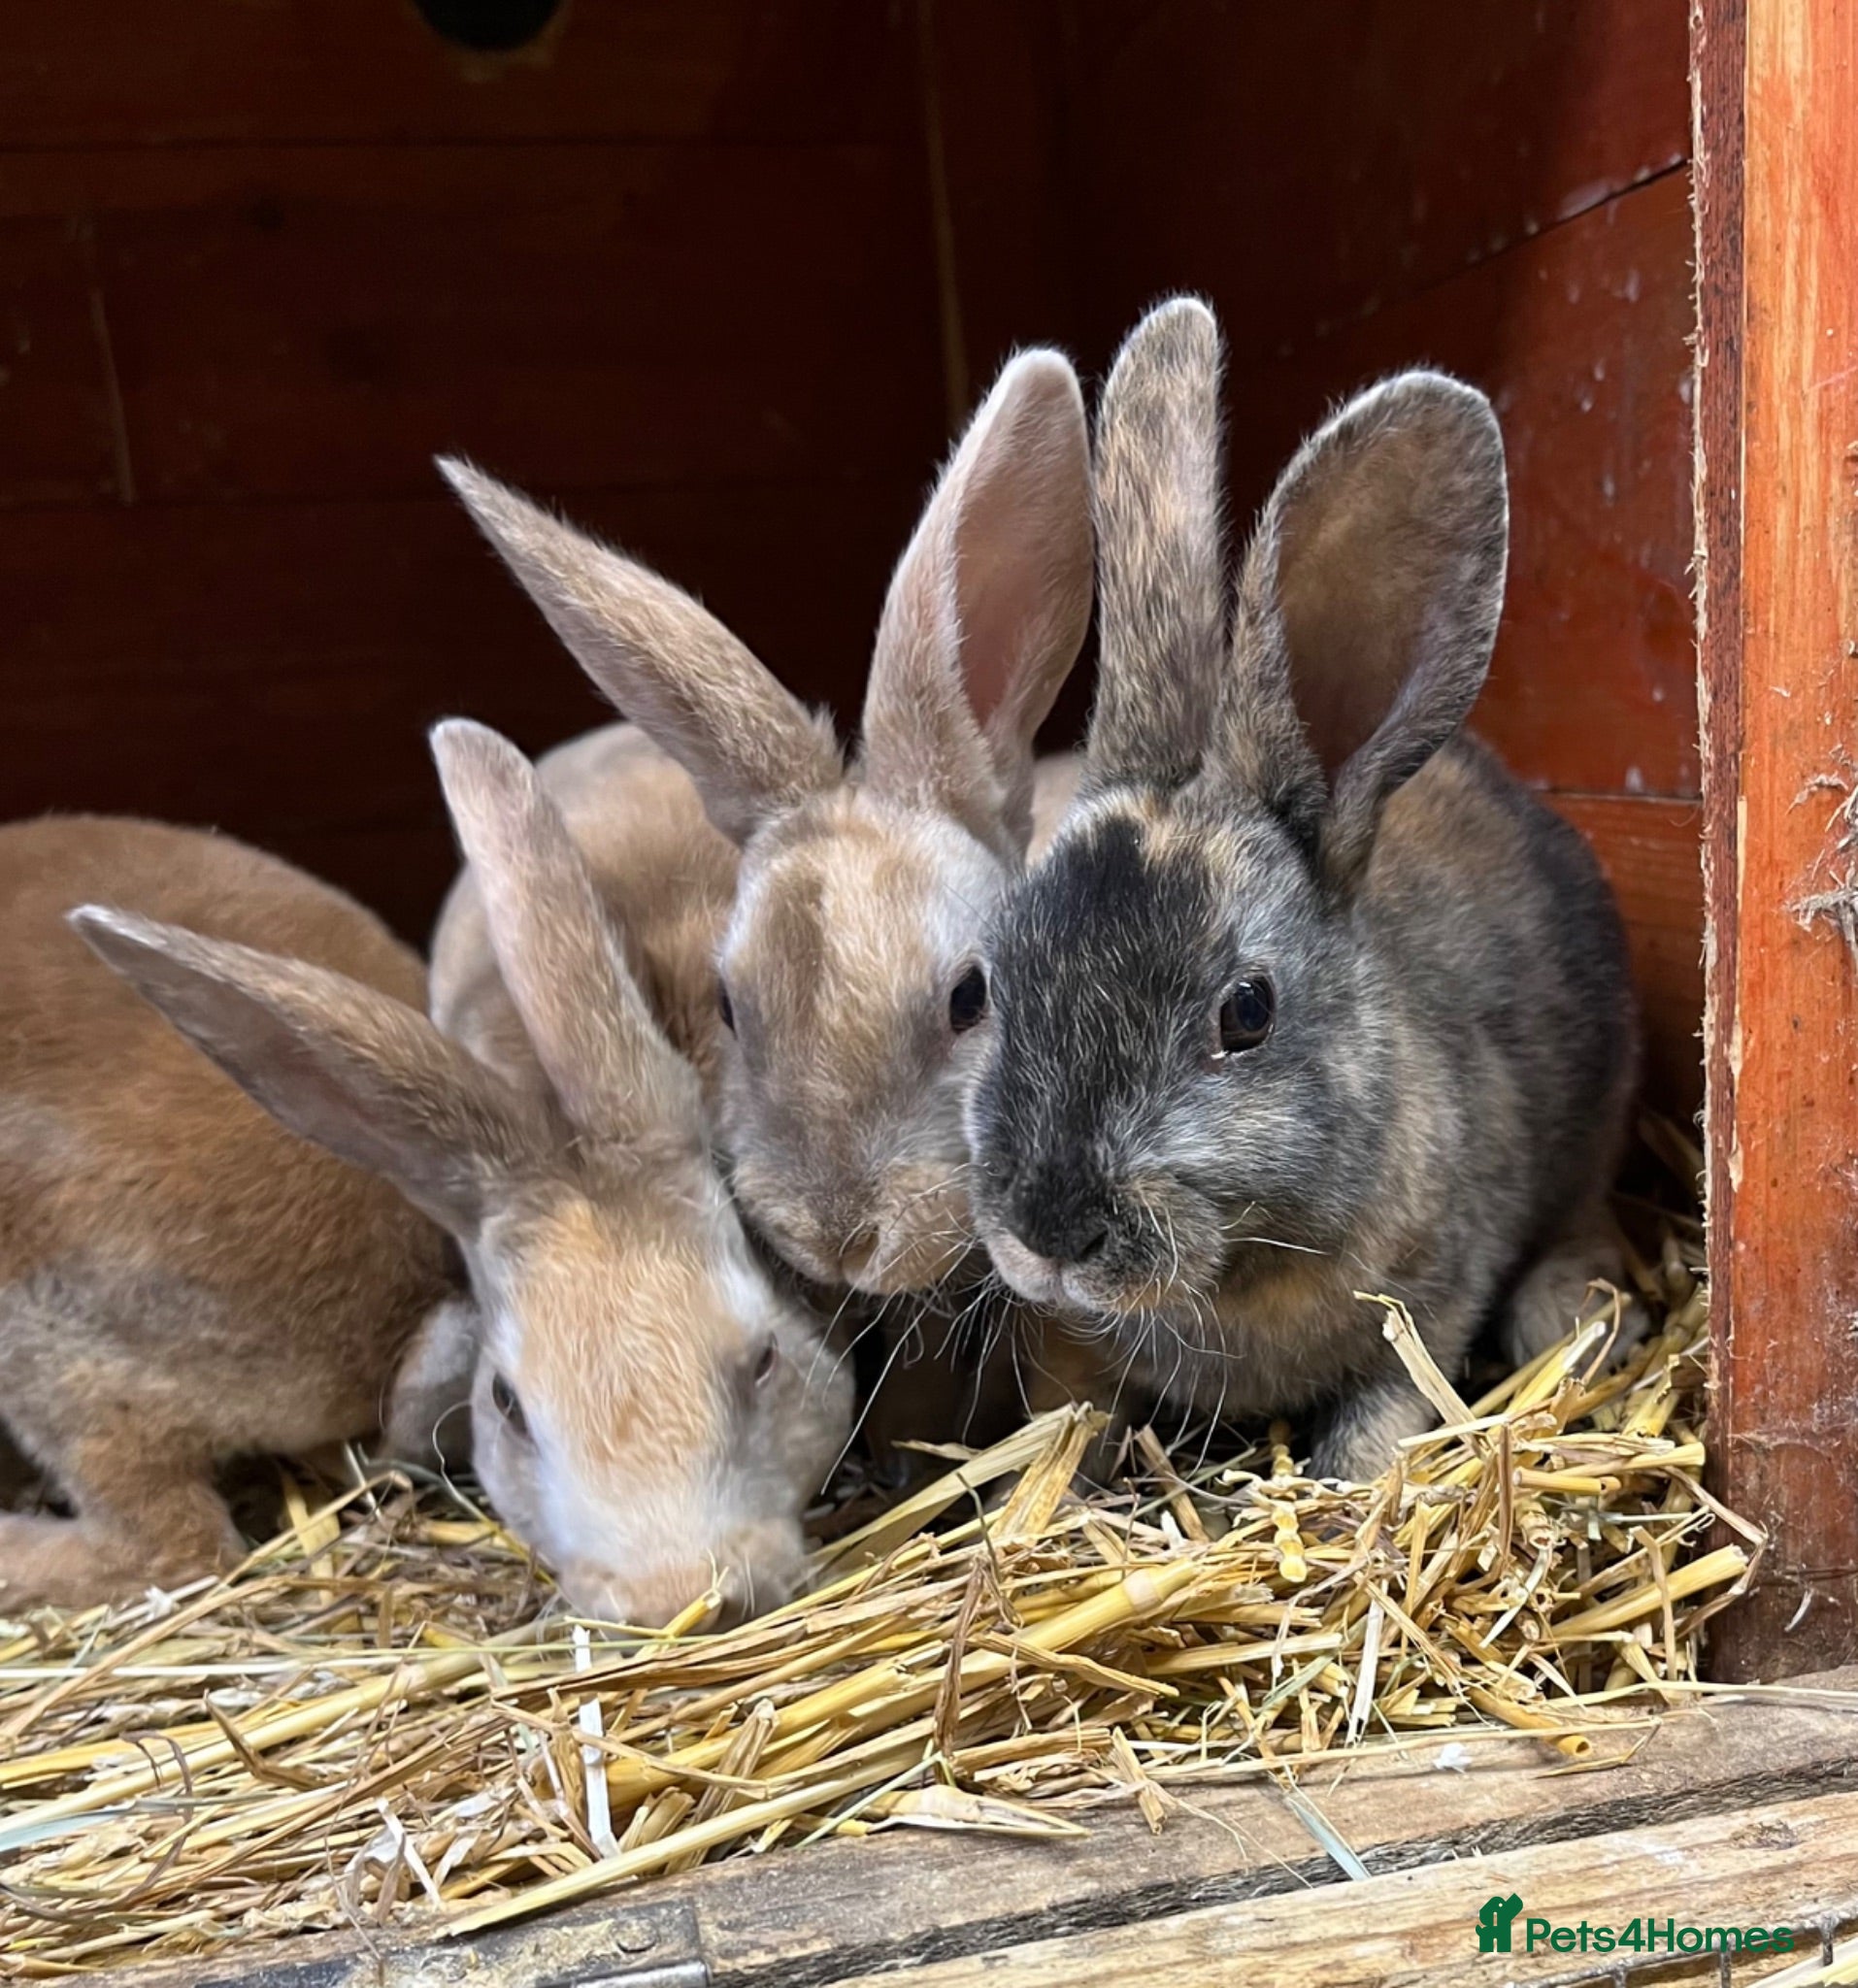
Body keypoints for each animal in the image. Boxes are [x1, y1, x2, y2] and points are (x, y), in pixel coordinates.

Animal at [962, 297, 1640, 1482]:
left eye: (1247, 1013)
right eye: (997, 984)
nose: (1048, 1231)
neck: (1238, 1272)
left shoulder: (1429, 1304)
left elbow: (1381, 1420)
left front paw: (1347, 1481)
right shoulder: (1071, 1348)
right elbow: (1070, 1412)